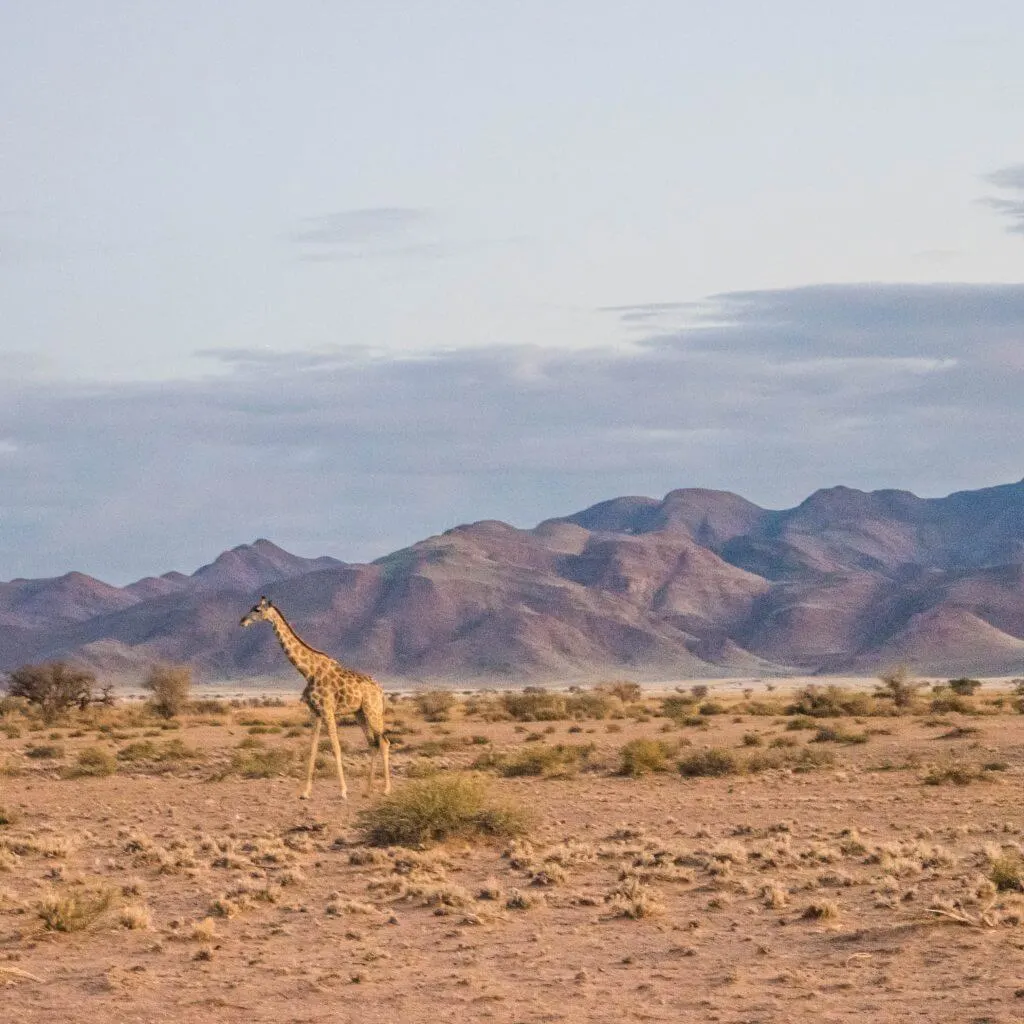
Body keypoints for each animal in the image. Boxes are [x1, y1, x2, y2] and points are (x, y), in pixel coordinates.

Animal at [240, 596, 391, 800]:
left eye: (256, 609)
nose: (242, 621)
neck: (308, 671)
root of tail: (380, 690)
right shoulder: (315, 712)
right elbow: (312, 749)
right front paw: (305, 792)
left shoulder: (327, 710)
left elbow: (336, 748)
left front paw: (343, 791)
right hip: (359, 713)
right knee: (373, 743)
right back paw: (367, 790)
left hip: (373, 711)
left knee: (384, 742)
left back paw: (386, 789)